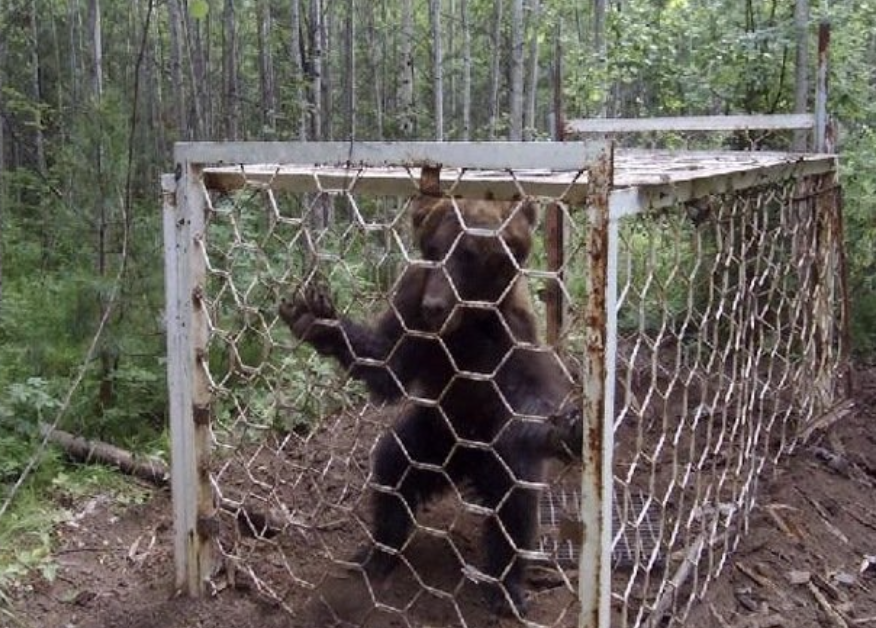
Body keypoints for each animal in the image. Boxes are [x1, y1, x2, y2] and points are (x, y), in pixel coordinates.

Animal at [280, 196, 580, 620]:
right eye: (434, 250)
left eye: (468, 254)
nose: (435, 305)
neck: (465, 324)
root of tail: (465, 465)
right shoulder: (413, 309)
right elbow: (386, 364)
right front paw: (317, 318)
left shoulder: (511, 335)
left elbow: (532, 396)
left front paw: (565, 426)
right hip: (434, 435)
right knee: (393, 468)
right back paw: (378, 553)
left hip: (490, 450)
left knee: (514, 501)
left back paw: (505, 588)